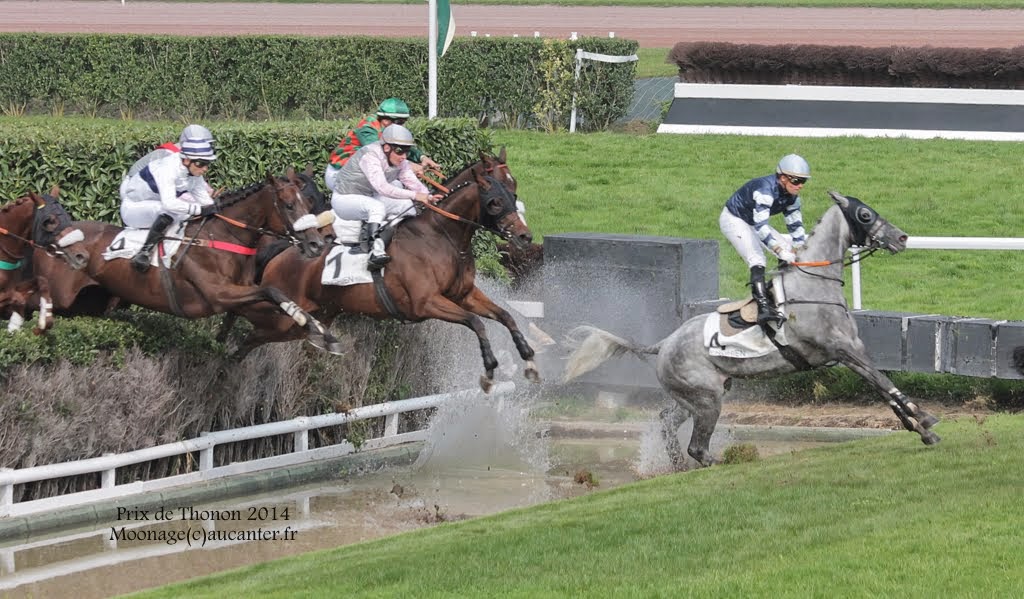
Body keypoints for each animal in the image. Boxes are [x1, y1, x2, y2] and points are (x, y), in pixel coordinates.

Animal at [30, 166, 344, 354]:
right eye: (291, 205)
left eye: (308, 202)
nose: (318, 243)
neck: (224, 236)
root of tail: (53, 239)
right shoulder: (218, 294)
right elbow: (271, 291)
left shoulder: (241, 297)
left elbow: (276, 298)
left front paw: (319, 330)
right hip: (61, 296)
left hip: (96, 300)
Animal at [224, 151, 536, 389]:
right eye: (494, 202)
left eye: (513, 192)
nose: (524, 236)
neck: (441, 235)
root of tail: (286, 249)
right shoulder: (426, 303)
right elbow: (476, 322)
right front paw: (489, 367)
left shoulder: (464, 294)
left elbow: (505, 315)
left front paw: (528, 356)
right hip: (283, 315)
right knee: (247, 315)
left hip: (307, 320)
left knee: (253, 336)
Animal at [565, 191, 937, 466]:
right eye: (864, 215)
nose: (902, 237)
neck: (815, 284)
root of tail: (662, 344)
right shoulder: (845, 349)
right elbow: (886, 383)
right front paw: (928, 421)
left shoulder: (849, 353)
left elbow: (882, 388)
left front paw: (920, 429)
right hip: (708, 398)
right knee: (697, 447)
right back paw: (719, 465)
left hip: (693, 396)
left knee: (667, 424)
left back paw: (674, 468)